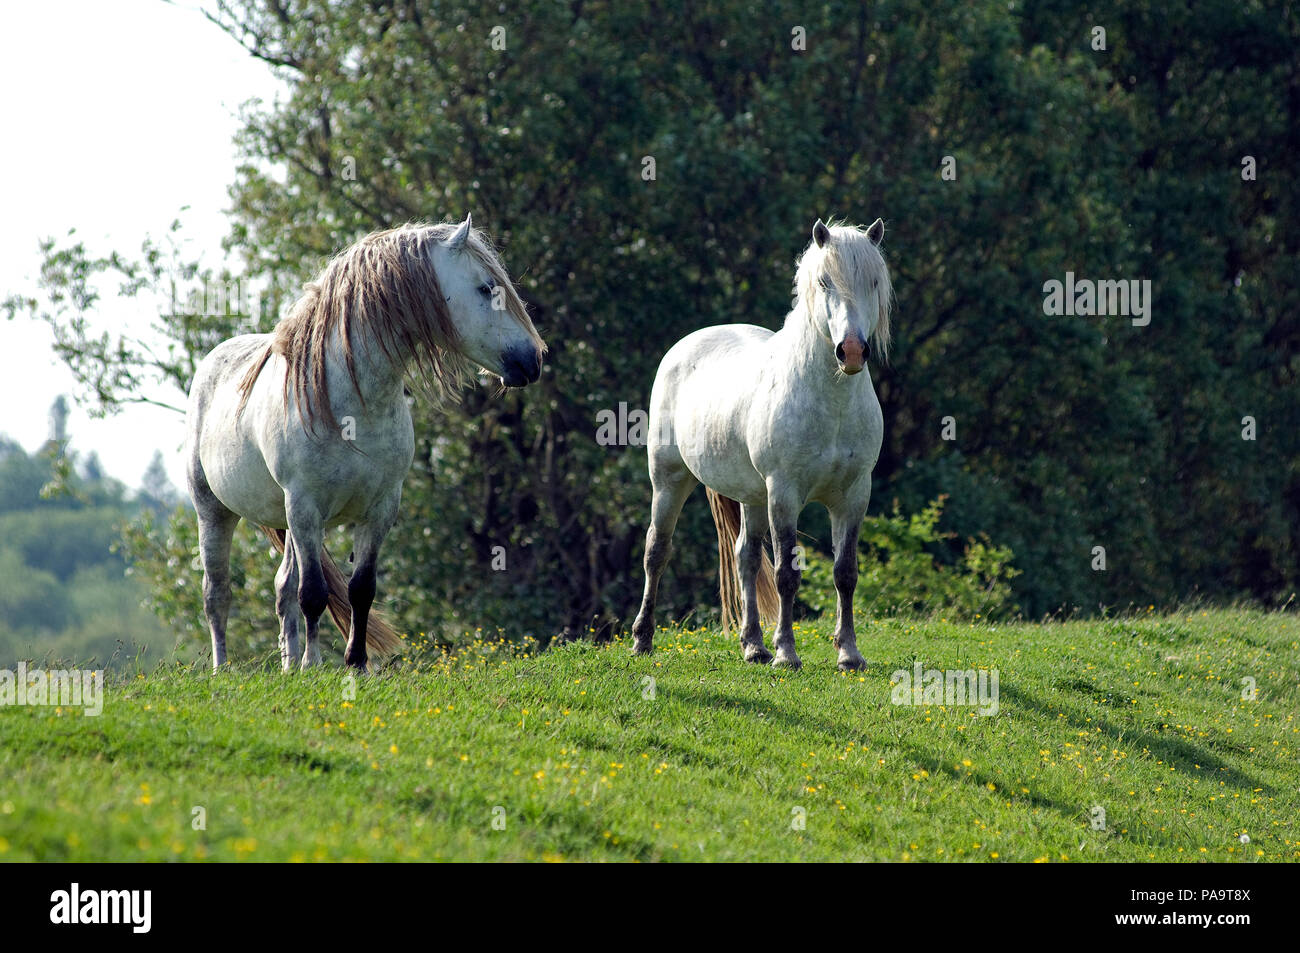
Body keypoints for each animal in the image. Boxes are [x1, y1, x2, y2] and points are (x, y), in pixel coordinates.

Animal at [185, 219, 546, 670]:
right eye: (485, 288)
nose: (534, 360)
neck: (350, 405)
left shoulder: (380, 508)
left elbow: (361, 590)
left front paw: (355, 664)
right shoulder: (305, 506)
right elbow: (314, 594)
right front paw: (313, 666)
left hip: (286, 521)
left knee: (283, 589)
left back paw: (286, 665)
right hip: (216, 512)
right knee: (217, 594)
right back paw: (225, 668)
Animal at [631, 218, 894, 670]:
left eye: (873, 281)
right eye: (824, 281)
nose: (851, 351)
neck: (831, 404)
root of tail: (687, 345)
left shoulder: (854, 495)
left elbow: (845, 573)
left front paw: (849, 653)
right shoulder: (784, 494)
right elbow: (787, 574)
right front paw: (787, 653)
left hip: (752, 497)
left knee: (746, 558)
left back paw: (753, 644)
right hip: (669, 481)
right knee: (657, 551)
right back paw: (642, 640)